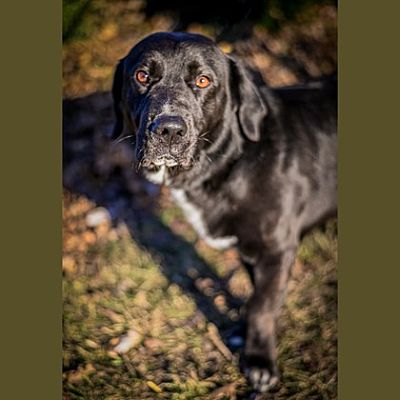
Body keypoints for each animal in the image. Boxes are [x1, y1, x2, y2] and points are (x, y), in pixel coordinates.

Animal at [111, 32, 338, 394]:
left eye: (203, 81)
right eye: (142, 76)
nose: (168, 130)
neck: (229, 159)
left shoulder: (277, 250)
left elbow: (261, 306)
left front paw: (259, 362)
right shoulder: (250, 251)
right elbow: (256, 295)